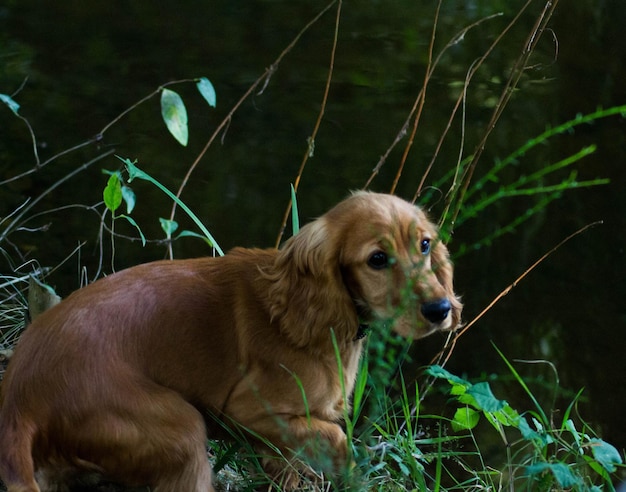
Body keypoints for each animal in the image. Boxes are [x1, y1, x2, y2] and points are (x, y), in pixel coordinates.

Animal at [0, 192, 458, 492]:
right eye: (377, 259)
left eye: (425, 244)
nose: (440, 309)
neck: (299, 307)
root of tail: (20, 399)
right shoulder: (247, 412)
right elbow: (336, 437)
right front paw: (351, 473)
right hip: (181, 431)